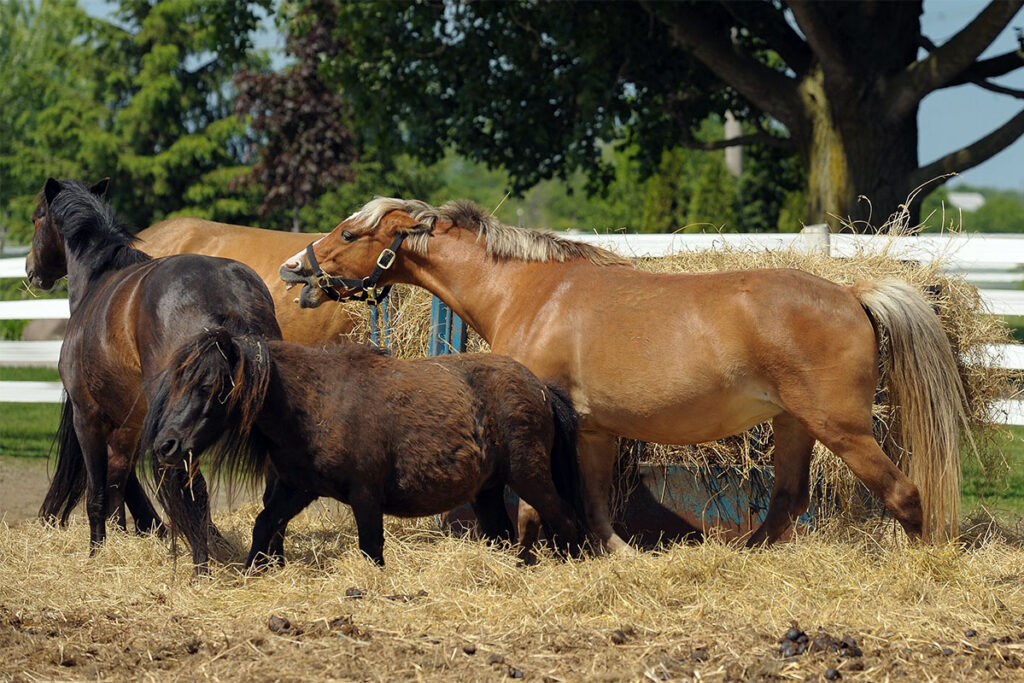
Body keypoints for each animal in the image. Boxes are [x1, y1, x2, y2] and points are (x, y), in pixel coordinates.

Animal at [26, 178, 282, 570]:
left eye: (37, 217)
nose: (30, 268)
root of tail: (229, 291)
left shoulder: (88, 418)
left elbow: (98, 493)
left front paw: (96, 554)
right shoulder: (128, 428)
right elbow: (118, 484)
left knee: (192, 488)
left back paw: (201, 567)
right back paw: (270, 559)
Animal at [140, 326, 588, 567]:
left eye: (207, 387)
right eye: (176, 383)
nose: (165, 446)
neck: (316, 403)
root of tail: (540, 388)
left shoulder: (365, 494)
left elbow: (371, 547)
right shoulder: (297, 488)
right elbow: (265, 524)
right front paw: (254, 571)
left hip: (528, 475)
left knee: (564, 517)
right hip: (488, 491)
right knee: (502, 535)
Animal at [279, 196, 970, 551]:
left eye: (349, 233)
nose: (293, 269)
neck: (530, 292)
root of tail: (851, 292)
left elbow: (536, 504)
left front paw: (532, 556)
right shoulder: (592, 429)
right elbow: (592, 502)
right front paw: (608, 553)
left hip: (840, 426)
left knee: (904, 494)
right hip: (794, 425)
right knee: (786, 504)